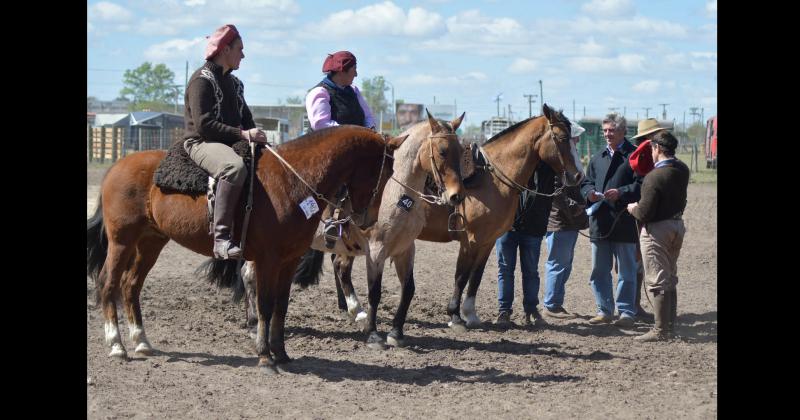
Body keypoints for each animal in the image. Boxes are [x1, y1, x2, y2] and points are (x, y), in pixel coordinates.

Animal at [87, 125, 407, 373]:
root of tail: (118, 166)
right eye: (383, 172)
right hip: (122, 241)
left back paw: (141, 342)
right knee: (108, 283)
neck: (293, 181)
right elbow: (264, 305)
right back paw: (116, 345)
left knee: (130, 285)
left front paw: (282, 353)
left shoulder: (289, 260)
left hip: (150, 241)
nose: (369, 220)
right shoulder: (268, 259)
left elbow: (281, 306)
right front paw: (265, 357)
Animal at [326, 104, 585, 336]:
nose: (578, 176)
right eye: (562, 137)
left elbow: (476, 277)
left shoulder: (488, 242)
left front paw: (470, 314)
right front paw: (455, 316)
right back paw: (356, 310)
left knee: (339, 263)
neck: (493, 180)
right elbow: (461, 276)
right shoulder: (470, 240)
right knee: (341, 265)